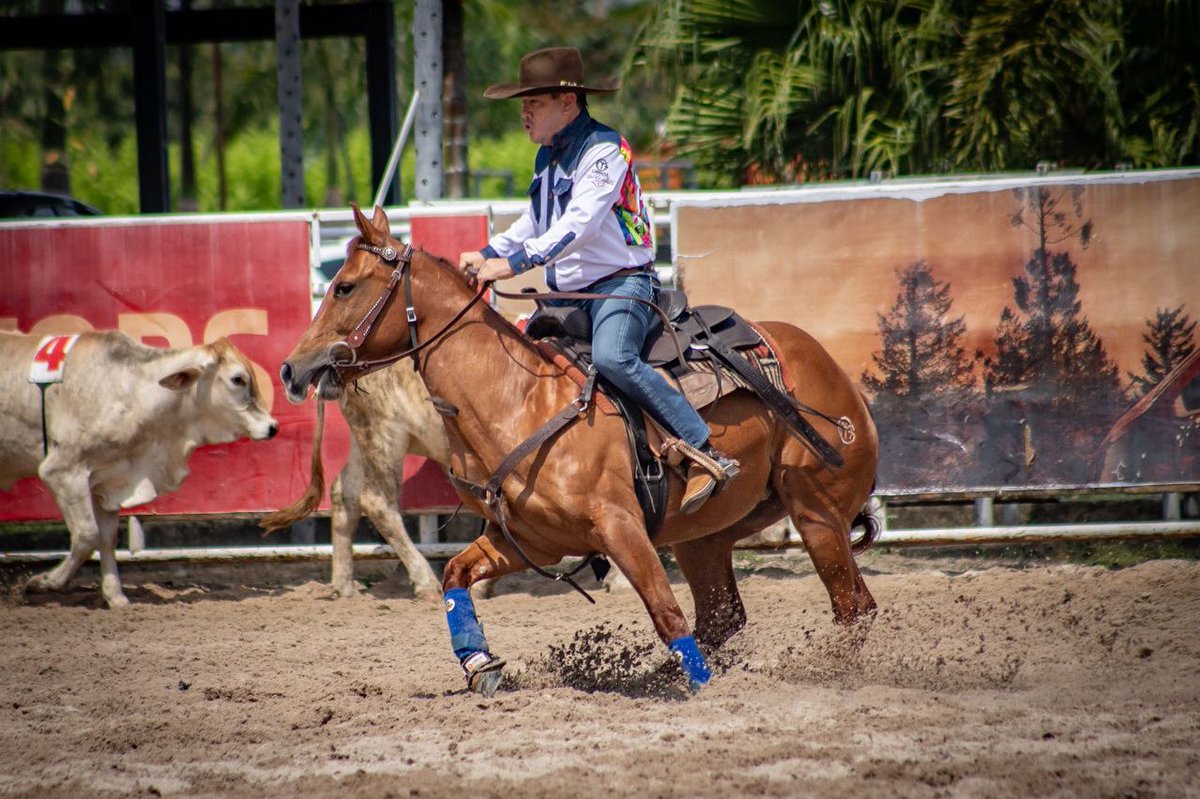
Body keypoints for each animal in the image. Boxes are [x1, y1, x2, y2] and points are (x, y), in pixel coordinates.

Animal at [0, 331, 278, 608]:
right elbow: (87, 535)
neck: (132, 389)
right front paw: (45, 582)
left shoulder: (106, 480)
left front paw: (116, 597)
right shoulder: (63, 472)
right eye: (238, 379)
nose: (272, 427)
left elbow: (106, 538)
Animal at [278, 205, 880, 695]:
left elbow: (664, 611)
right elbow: (456, 577)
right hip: (705, 537)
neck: (519, 396)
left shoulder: (620, 525)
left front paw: (702, 689)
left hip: (816, 511)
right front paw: (479, 663)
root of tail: (829, 368)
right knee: (723, 618)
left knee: (853, 608)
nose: (291, 368)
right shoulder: (526, 541)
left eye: (345, 287)